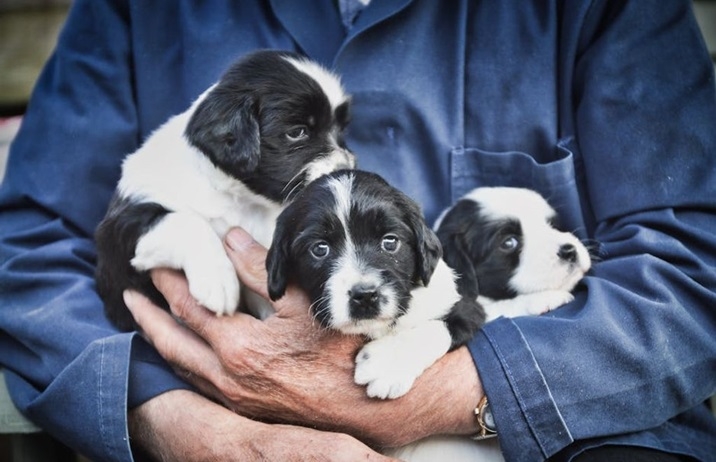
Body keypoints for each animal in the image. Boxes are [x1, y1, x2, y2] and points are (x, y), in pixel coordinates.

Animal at [94, 50, 352, 330]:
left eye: (340, 130)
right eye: (297, 132)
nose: (345, 170)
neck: (239, 199)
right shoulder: (119, 238)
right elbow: (188, 222)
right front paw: (217, 279)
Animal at [268, 170, 486, 400]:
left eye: (390, 242)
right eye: (320, 249)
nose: (364, 296)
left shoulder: (467, 306)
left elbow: (438, 327)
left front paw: (386, 364)